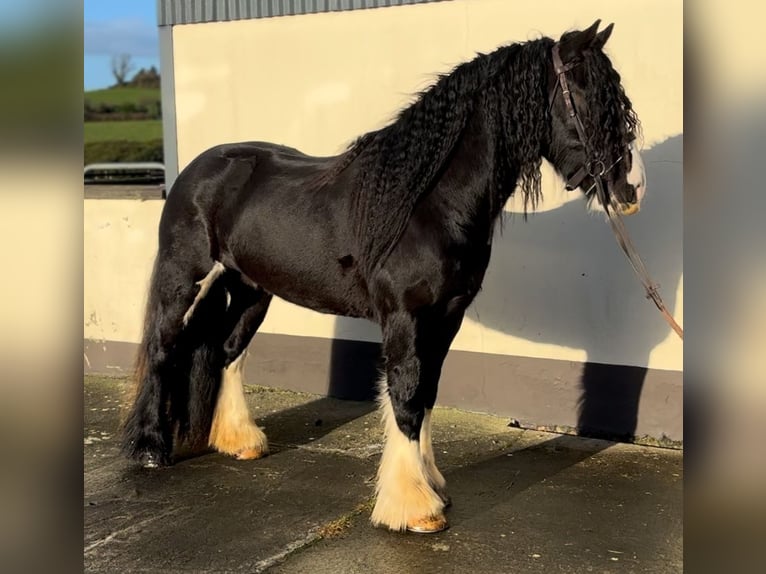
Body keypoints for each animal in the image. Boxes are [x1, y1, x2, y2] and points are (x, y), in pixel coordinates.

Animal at [124, 21, 648, 536]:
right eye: (589, 98)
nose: (632, 188)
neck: (426, 202)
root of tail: (199, 169)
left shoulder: (446, 316)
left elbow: (428, 391)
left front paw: (432, 485)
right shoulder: (405, 317)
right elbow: (407, 394)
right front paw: (414, 508)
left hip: (251, 289)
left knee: (228, 351)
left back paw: (241, 441)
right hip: (184, 279)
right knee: (164, 347)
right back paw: (150, 449)